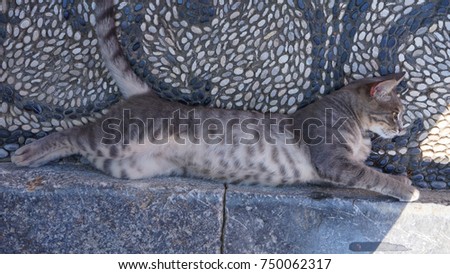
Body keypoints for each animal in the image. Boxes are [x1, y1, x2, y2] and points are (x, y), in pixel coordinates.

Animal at [11, 0, 418, 201]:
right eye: (396, 112)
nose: (403, 129)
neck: (349, 116)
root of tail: (147, 94)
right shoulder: (332, 158)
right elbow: (371, 175)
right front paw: (405, 187)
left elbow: (367, 169)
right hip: (122, 137)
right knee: (77, 131)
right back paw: (27, 153)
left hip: (130, 165)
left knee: (85, 146)